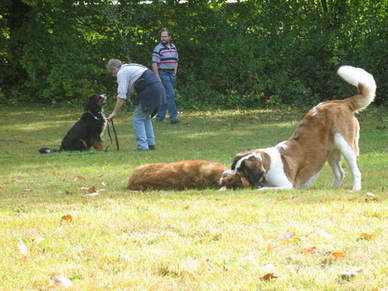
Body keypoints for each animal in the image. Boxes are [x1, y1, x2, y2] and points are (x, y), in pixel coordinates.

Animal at [230, 67, 376, 193]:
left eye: (241, 172)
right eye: (233, 168)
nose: (229, 176)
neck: (267, 164)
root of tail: (340, 102)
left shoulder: (287, 185)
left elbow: (264, 188)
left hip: (345, 145)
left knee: (355, 170)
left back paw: (356, 188)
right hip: (329, 152)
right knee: (340, 173)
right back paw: (332, 189)